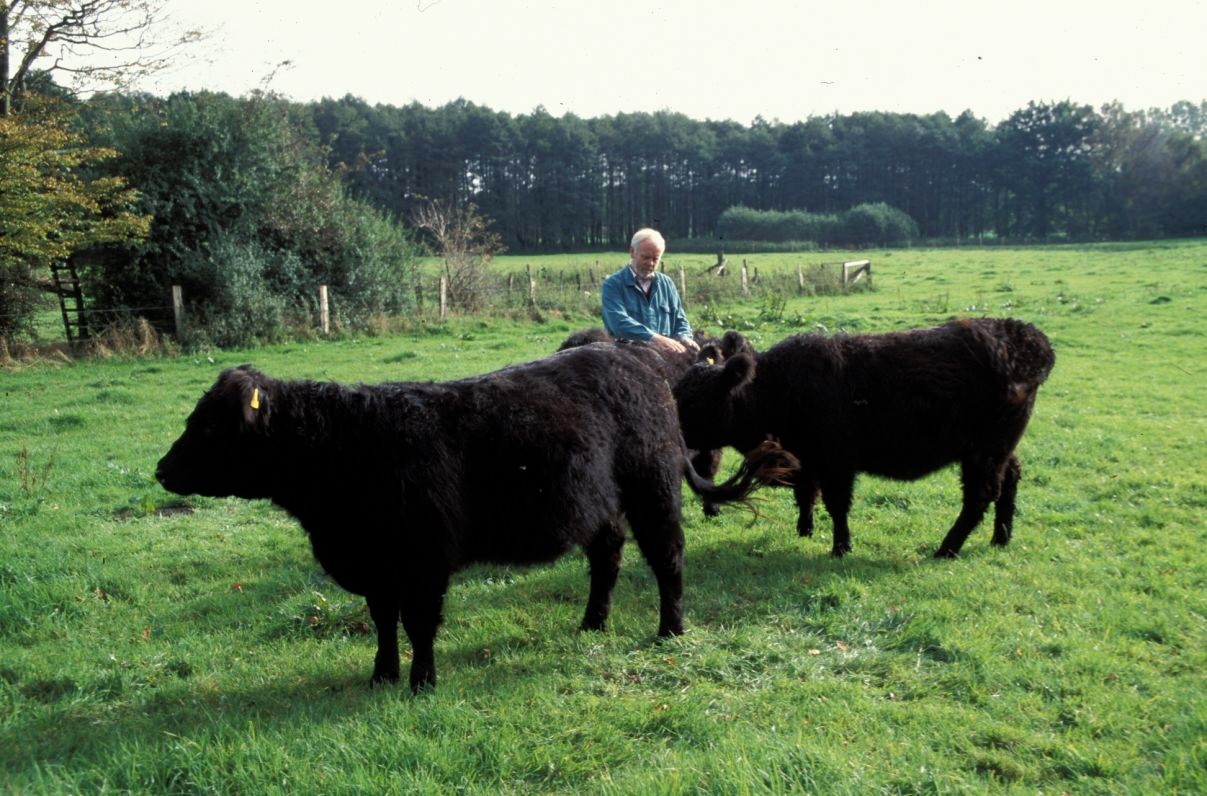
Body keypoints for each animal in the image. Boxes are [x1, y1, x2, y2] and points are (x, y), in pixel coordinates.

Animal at [158, 347, 801, 690]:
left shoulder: (422, 562)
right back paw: (591, 623)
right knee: (607, 558)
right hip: (599, 505)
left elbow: (418, 624)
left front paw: (421, 682)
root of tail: (636, 360)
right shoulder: (376, 565)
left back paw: (670, 630)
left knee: (667, 555)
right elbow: (383, 622)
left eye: (210, 427)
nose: (162, 470)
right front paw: (382, 676)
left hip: (653, 490)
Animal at [671, 318, 1057, 560]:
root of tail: (1028, 338)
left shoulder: (836, 461)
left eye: (696, 400)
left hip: (984, 451)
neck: (775, 390)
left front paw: (840, 547)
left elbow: (836, 504)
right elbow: (806, 494)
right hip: (1001, 448)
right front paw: (804, 530)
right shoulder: (807, 459)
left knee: (979, 497)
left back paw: (946, 549)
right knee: (1010, 479)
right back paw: (1000, 537)